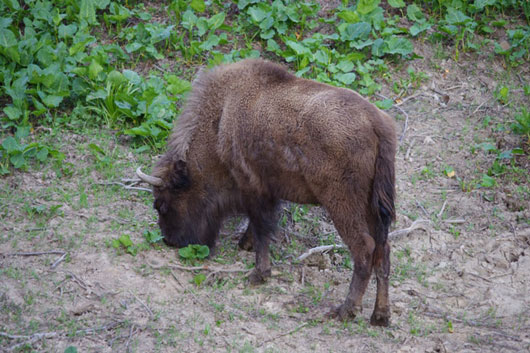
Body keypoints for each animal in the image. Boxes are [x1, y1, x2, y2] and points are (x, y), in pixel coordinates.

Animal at [138, 59, 394, 326]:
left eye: (162, 204)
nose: (170, 240)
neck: (222, 118)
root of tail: (377, 123)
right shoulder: (266, 192)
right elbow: (260, 226)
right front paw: (246, 246)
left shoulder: (253, 188)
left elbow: (262, 229)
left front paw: (258, 274)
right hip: (373, 209)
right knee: (383, 252)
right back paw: (380, 316)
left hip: (342, 205)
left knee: (364, 249)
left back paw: (346, 310)